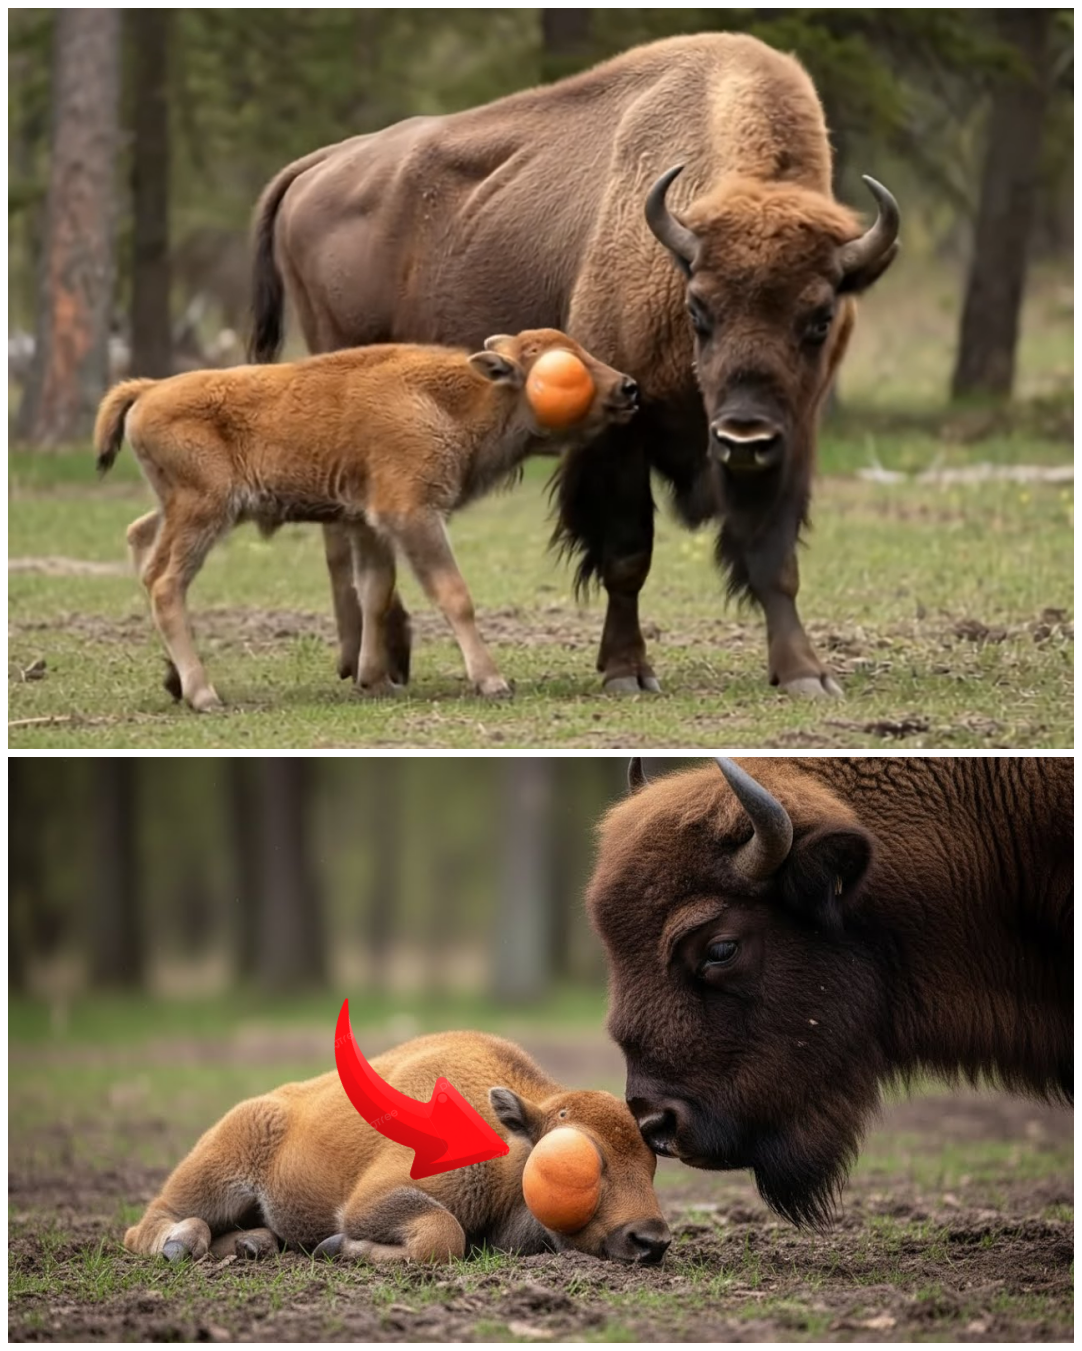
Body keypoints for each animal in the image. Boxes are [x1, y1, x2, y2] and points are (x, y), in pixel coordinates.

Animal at [93, 329, 636, 711]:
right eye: (563, 366)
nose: (628, 387)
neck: (456, 399)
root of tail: (149, 390)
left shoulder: (369, 525)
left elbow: (375, 593)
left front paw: (375, 681)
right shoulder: (413, 514)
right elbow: (453, 594)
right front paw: (492, 680)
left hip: (179, 507)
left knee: (140, 542)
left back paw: (176, 680)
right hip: (204, 511)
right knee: (166, 583)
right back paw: (204, 694)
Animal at [123, 1030, 671, 1266]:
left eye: (652, 1163)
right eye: (574, 1164)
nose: (652, 1240)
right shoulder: (372, 1202)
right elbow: (442, 1234)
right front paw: (336, 1248)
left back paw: (251, 1244)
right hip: (216, 1173)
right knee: (148, 1222)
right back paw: (180, 1244)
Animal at [248, 32, 899, 699]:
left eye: (819, 317)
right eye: (698, 308)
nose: (744, 432)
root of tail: (322, 163)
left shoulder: (791, 437)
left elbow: (773, 557)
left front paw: (804, 674)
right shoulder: (621, 435)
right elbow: (627, 555)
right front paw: (627, 671)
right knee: (341, 535)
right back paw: (368, 658)